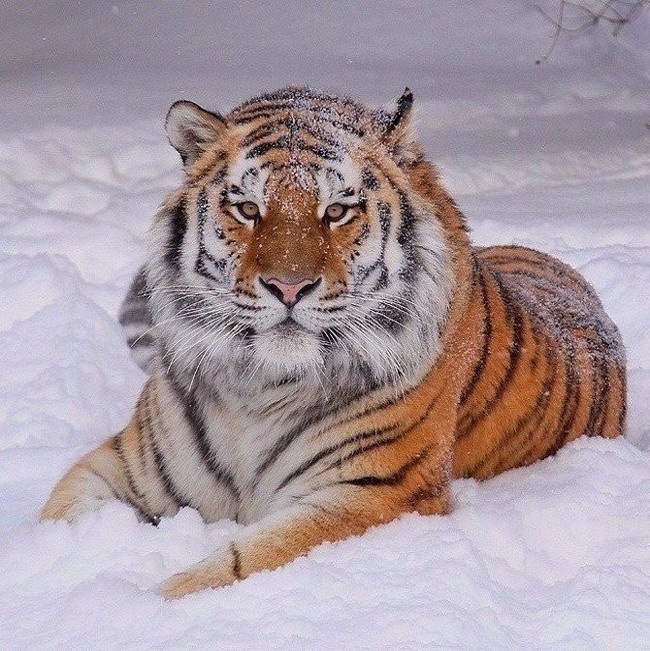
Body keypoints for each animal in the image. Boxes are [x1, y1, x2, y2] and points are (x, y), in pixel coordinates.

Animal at [39, 88, 624, 600]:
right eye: (248, 209)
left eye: (338, 210)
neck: (258, 387)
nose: (288, 287)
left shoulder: (377, 492)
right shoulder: (125, 466)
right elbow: (57, 518)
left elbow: (237, 564)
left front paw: (140, 605)